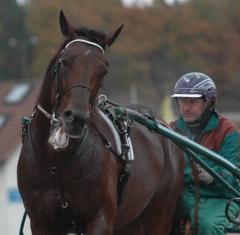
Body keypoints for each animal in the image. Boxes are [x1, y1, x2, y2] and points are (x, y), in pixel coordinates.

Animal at [17, 10, 184, 234]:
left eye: (104, 70)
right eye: (65, 61)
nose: (76, 118)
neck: (56, 161)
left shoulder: (100, 219)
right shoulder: (41, 222)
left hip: (160, 214)